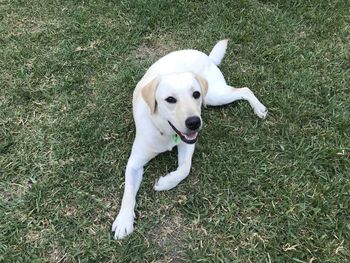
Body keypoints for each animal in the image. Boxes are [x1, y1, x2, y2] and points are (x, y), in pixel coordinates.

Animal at [112, 39, 268, 241]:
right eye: (170, 99)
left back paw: (259, 108)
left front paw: (166, 182)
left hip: (214, 95)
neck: (165, 131)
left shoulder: (187, 144)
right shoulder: (134, 162)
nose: (194, 122)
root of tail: (206, 56)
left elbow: (184, 168)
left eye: (196, 94)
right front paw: (124, 220)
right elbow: (128, 192)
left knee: (244, 90)